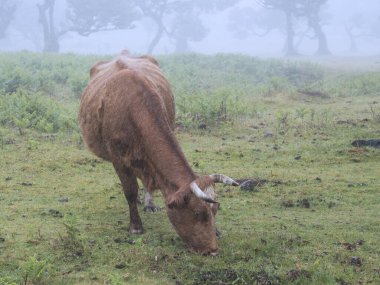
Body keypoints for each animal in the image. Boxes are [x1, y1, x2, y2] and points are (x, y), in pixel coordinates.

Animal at [78, 50, 238, 254]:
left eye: (215, 210)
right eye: (197, 213)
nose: (212, 250)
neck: (133, 108)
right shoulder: (118, 159)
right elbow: (130, 190)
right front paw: (135, 226)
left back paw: (149, 203)